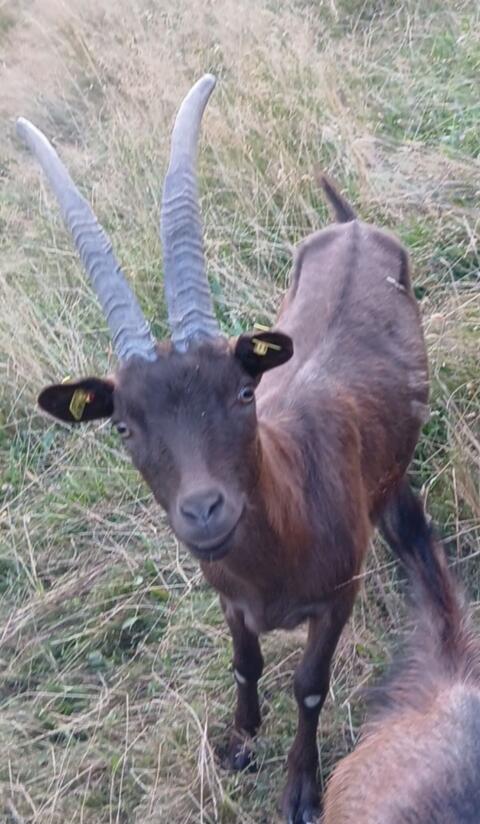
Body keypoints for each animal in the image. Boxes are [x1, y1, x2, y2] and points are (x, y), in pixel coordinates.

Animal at [17, 74, 429, 823]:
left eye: (243, 392)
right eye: (122, 426)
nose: (204, 511)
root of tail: (353, 222)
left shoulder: (339, 598)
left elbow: (309, 684)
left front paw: (300, 788)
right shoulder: (230, 600)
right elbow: (246, 663)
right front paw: (239, 743)